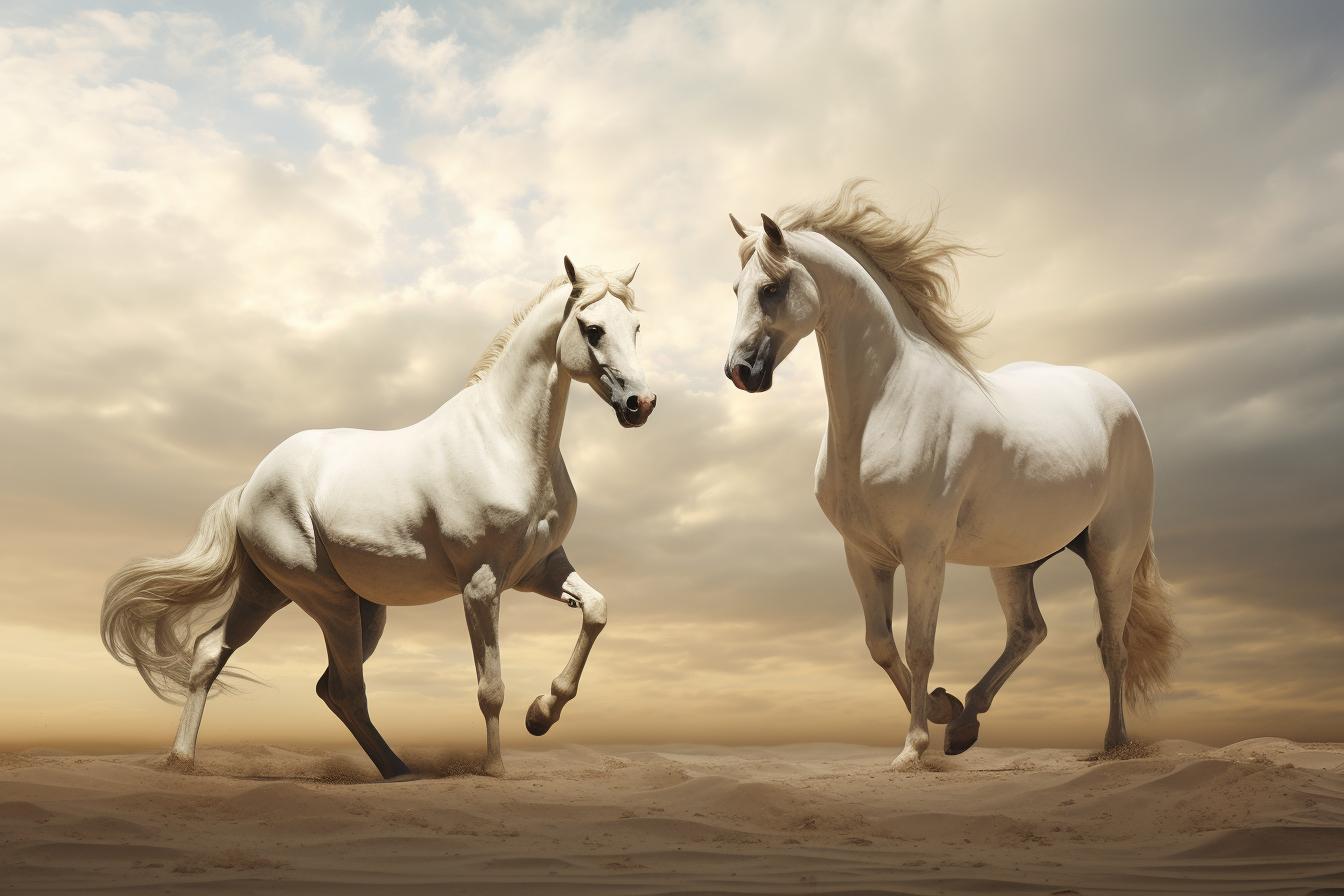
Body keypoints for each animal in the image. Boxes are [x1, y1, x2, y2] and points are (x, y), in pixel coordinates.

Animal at [101, 257, 655, 779]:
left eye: (635, 327)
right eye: (592, 329)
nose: (641, 404)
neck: (503, 440)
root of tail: (250, 488)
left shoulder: (540, 569)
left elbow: (596, 610)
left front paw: (542, 714)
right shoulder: (480, 585)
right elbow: (490, 687)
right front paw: (495, 768)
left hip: (287, 595)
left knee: (228, 657)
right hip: (327, 601)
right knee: (341, 687)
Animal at [723, 180, 1179, 768]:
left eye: (772, 288)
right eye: (737, 289)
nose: (739, 372)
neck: (886, 405)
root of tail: (1120, 401)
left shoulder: (924, 552)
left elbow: (920, 645)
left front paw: (913, 748)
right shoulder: (863, 554)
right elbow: (880, 645)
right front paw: (941, 710)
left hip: (1111, 553)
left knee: (1113, 646)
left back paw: (1114, 743)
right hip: (1014, 561)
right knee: (1029, 631)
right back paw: (965, 723)